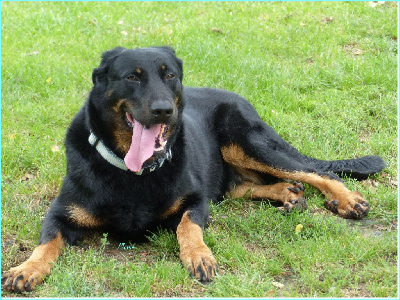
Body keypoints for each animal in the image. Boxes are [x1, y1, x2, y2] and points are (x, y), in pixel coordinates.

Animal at [1, 47, 386, 292]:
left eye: (169, 75)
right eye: (132, 77)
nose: (163, 110)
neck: (133, 173)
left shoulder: (196, 201)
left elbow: (188, 226)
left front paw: (199, 255)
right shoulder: (59, 214)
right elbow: (46, 242)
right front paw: (27, 269)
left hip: (247, 142)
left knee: (316, 172)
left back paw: (346, 200)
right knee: (244, 186)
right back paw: (287, 193)